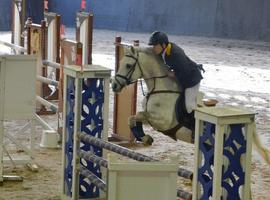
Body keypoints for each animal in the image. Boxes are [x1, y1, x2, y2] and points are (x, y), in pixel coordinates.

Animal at [110, 45, 270, 166]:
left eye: (128, 65)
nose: (114, 85)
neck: (160, 88)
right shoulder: (151, 120)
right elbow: (132, 118)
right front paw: (145, 138)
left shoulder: (160, 121)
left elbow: (138, 116)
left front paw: (145, 138)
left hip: (230, 149)